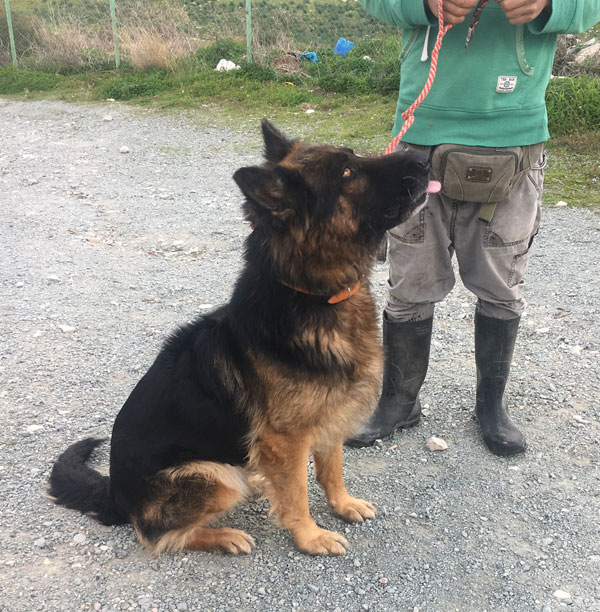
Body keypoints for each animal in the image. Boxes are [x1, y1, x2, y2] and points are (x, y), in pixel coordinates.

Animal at [49, 119, 438, 556]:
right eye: (347, 173)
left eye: (352, 156)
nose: (425, 158)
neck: (310, 292)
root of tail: (115, 494)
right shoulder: (286, 440)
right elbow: (297, 494)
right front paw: (310, 536)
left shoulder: (329, 415)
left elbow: (331, 469)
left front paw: (343, 504)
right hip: (213, 476)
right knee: (157, 535)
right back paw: (223, 535)